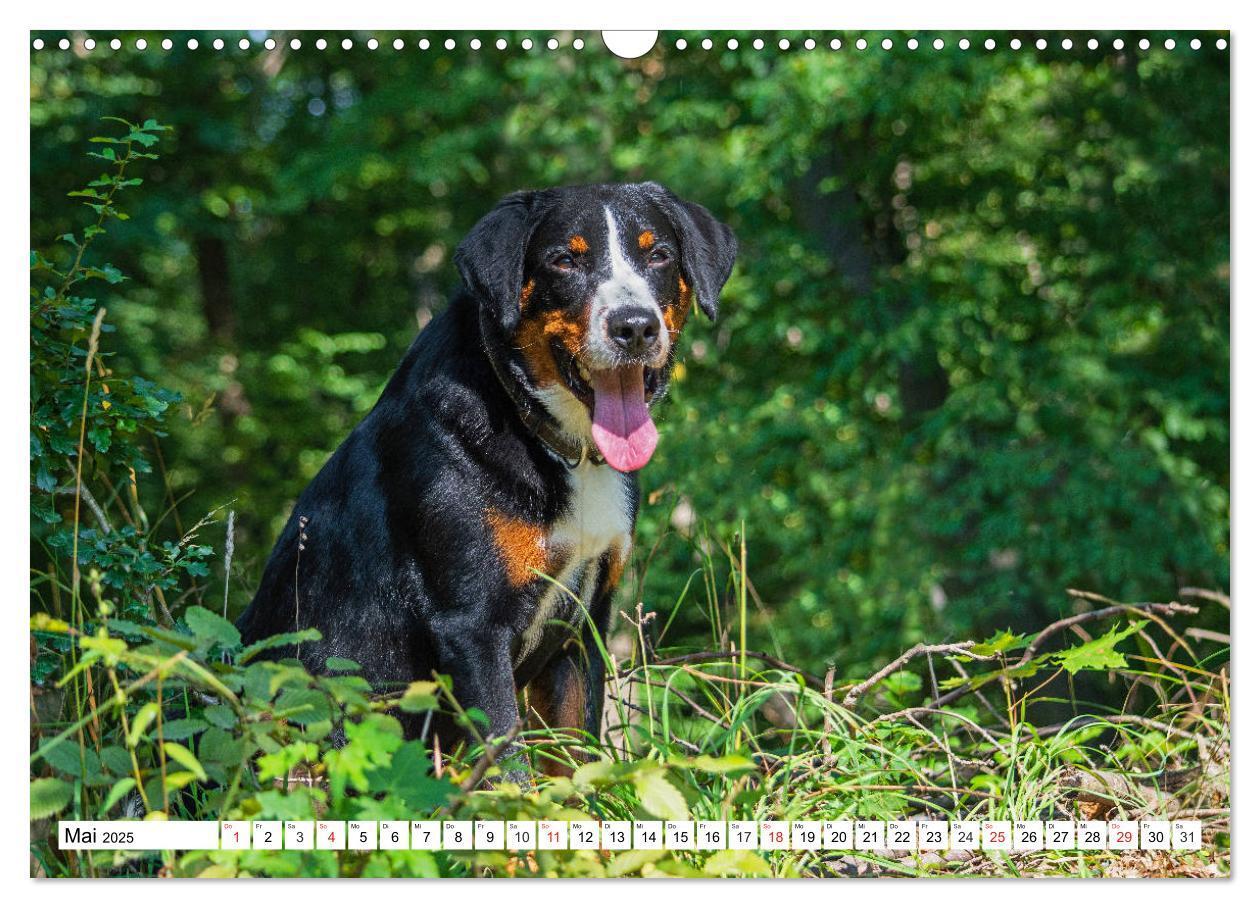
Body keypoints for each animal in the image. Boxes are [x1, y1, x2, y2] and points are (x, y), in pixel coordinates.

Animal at [234, 182, 735, 770]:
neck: (552, 441)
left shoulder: (582, 628)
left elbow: (575, 755)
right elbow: (506, 762)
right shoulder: (473, 628)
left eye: (657, 254)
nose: (634, 326)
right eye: (565, 260)